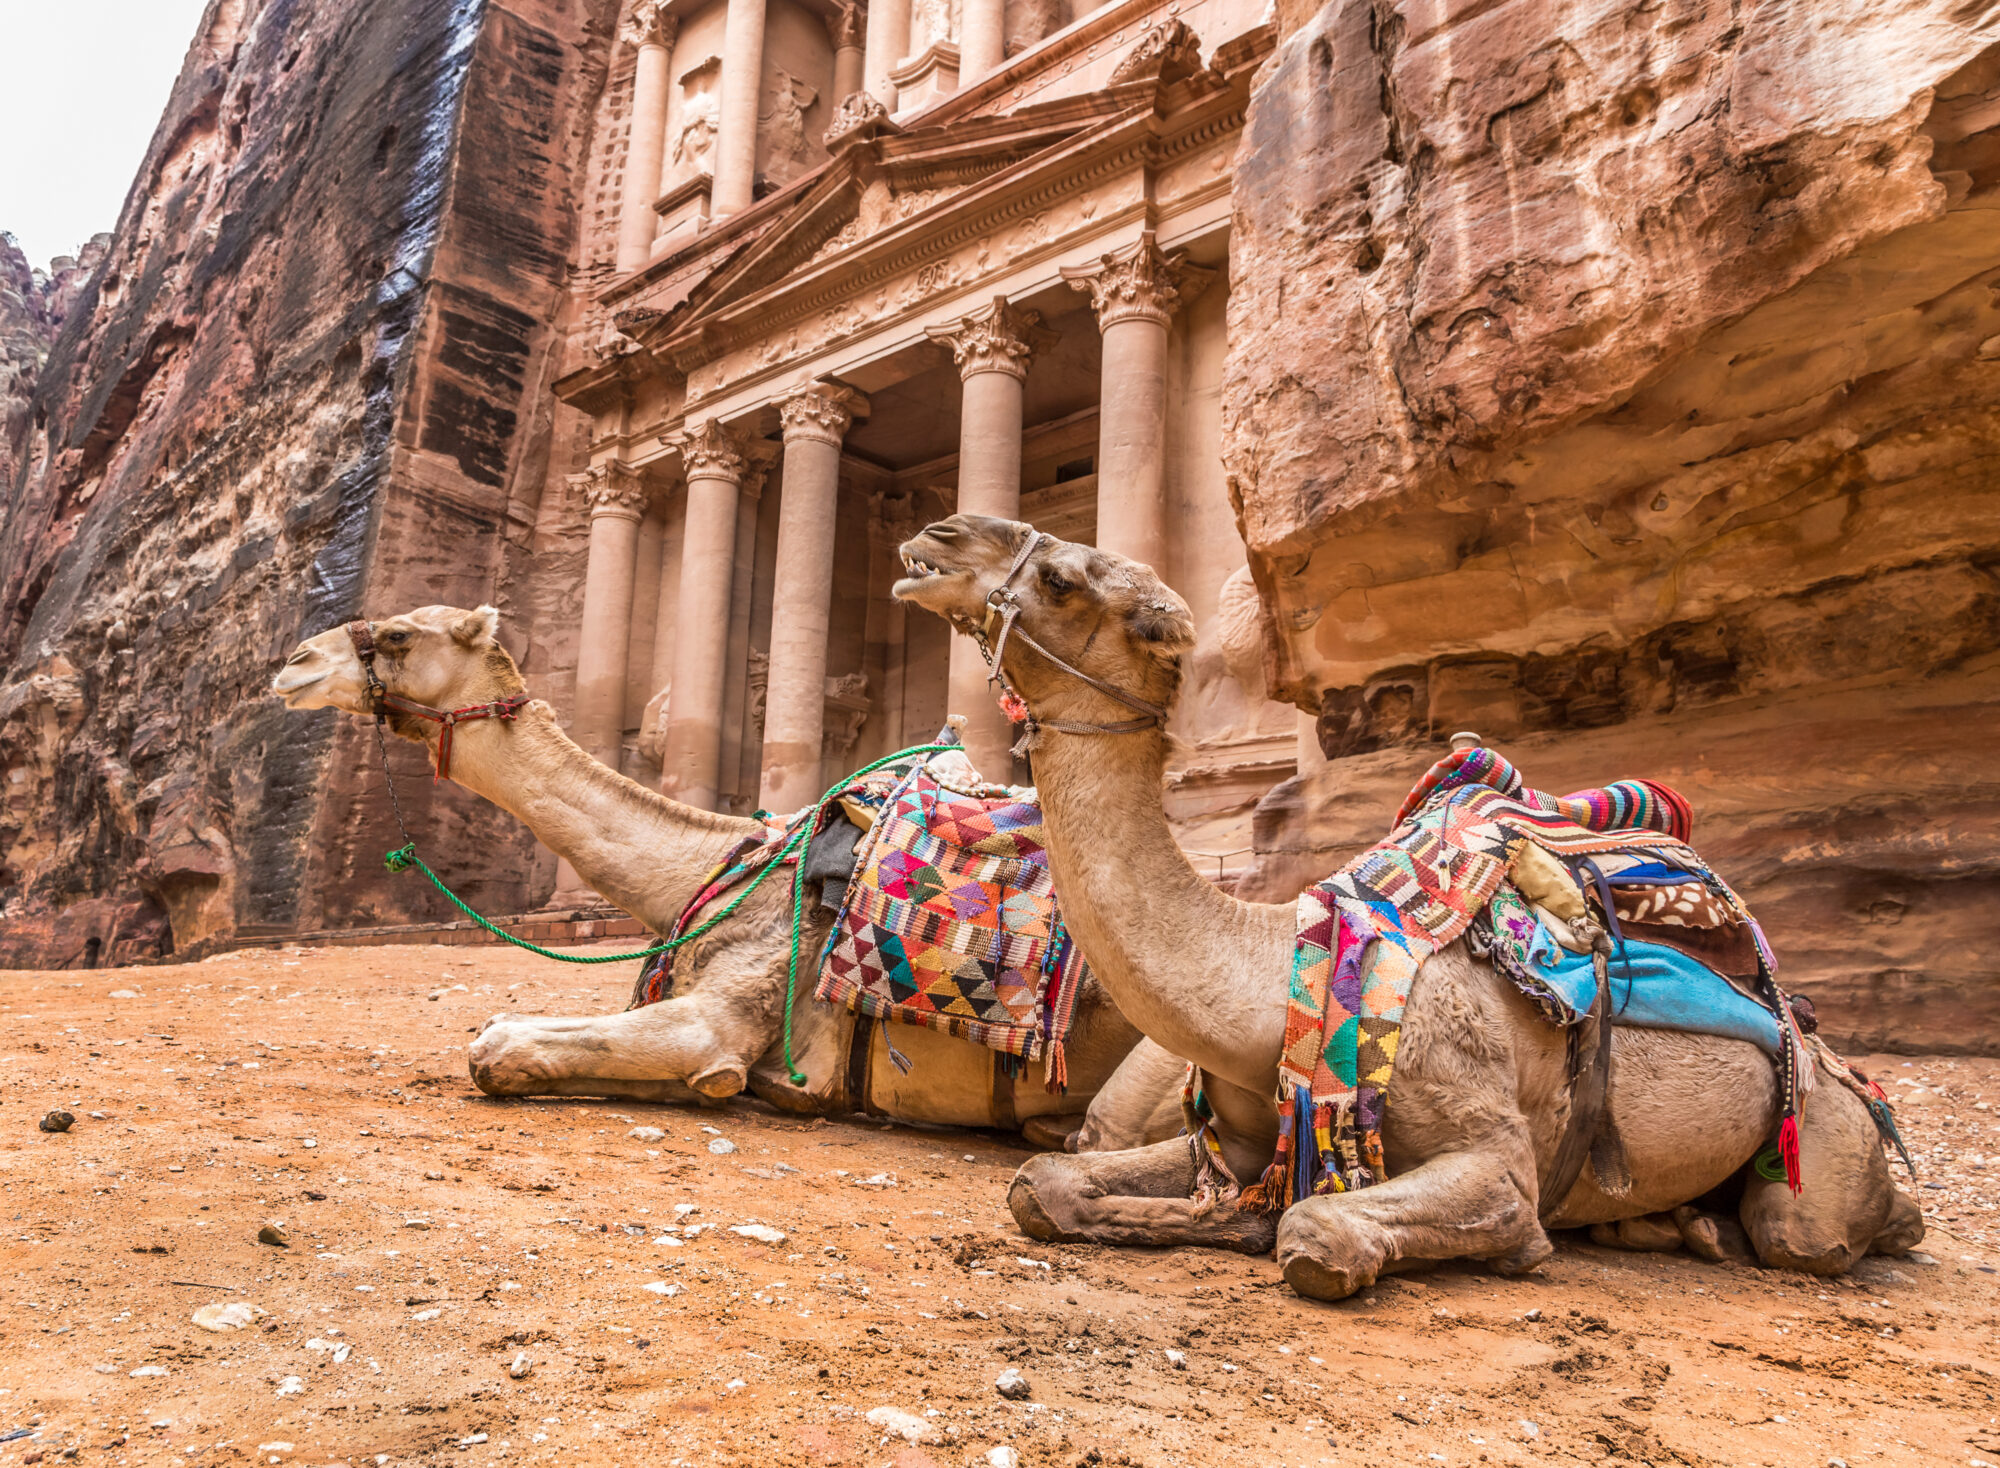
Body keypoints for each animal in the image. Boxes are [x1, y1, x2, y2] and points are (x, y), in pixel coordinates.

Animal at [892, 515, 1924, 1295]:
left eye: (1061, 578)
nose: (936, 537)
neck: (1271, 976)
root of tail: (1810, 1031)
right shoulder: (1236, 1133)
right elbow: (1042, 1183)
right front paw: (1203, 1219)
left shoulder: (1491, 1148)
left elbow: (1322, 1229)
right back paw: (1672, 1227)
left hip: (1815, 1127)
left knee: (1809, 1231)